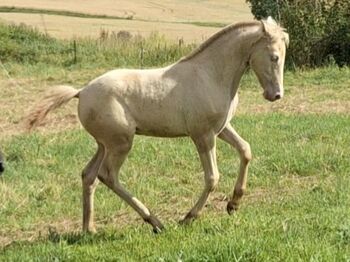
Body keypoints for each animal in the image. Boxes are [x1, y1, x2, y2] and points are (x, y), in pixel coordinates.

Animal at [25, 16, 290, 233]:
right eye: (274, 57)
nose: (276, 95)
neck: (210, 74)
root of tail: (82, 91)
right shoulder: (202, 135)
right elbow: (212, 178)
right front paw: (189, 217)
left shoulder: (221, 129)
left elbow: (246, 150)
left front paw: (234, 204)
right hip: (121, 143)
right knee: (107, 176)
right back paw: (154, 222)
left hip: (104, 144)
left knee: (88, 175)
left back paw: (89, 229)